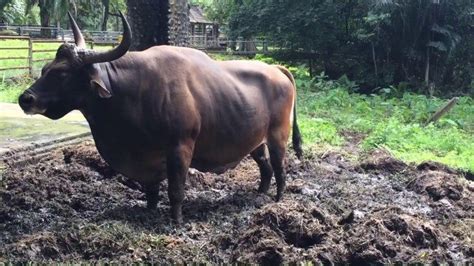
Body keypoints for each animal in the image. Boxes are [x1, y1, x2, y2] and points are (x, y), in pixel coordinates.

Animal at [18, 12, 302, 222]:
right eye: (45, 68)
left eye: (62, 74)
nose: (25, 99)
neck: (133, 92)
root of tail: (275, 69)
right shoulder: (148, 157)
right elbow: (151, 189)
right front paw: (150, 210)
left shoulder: (180, 148)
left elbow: (175, 189)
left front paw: (176, 220)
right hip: (255, 142)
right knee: (265, 167)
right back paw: (259, 194)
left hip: (278, 136)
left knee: (280, 168)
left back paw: (277, 200)